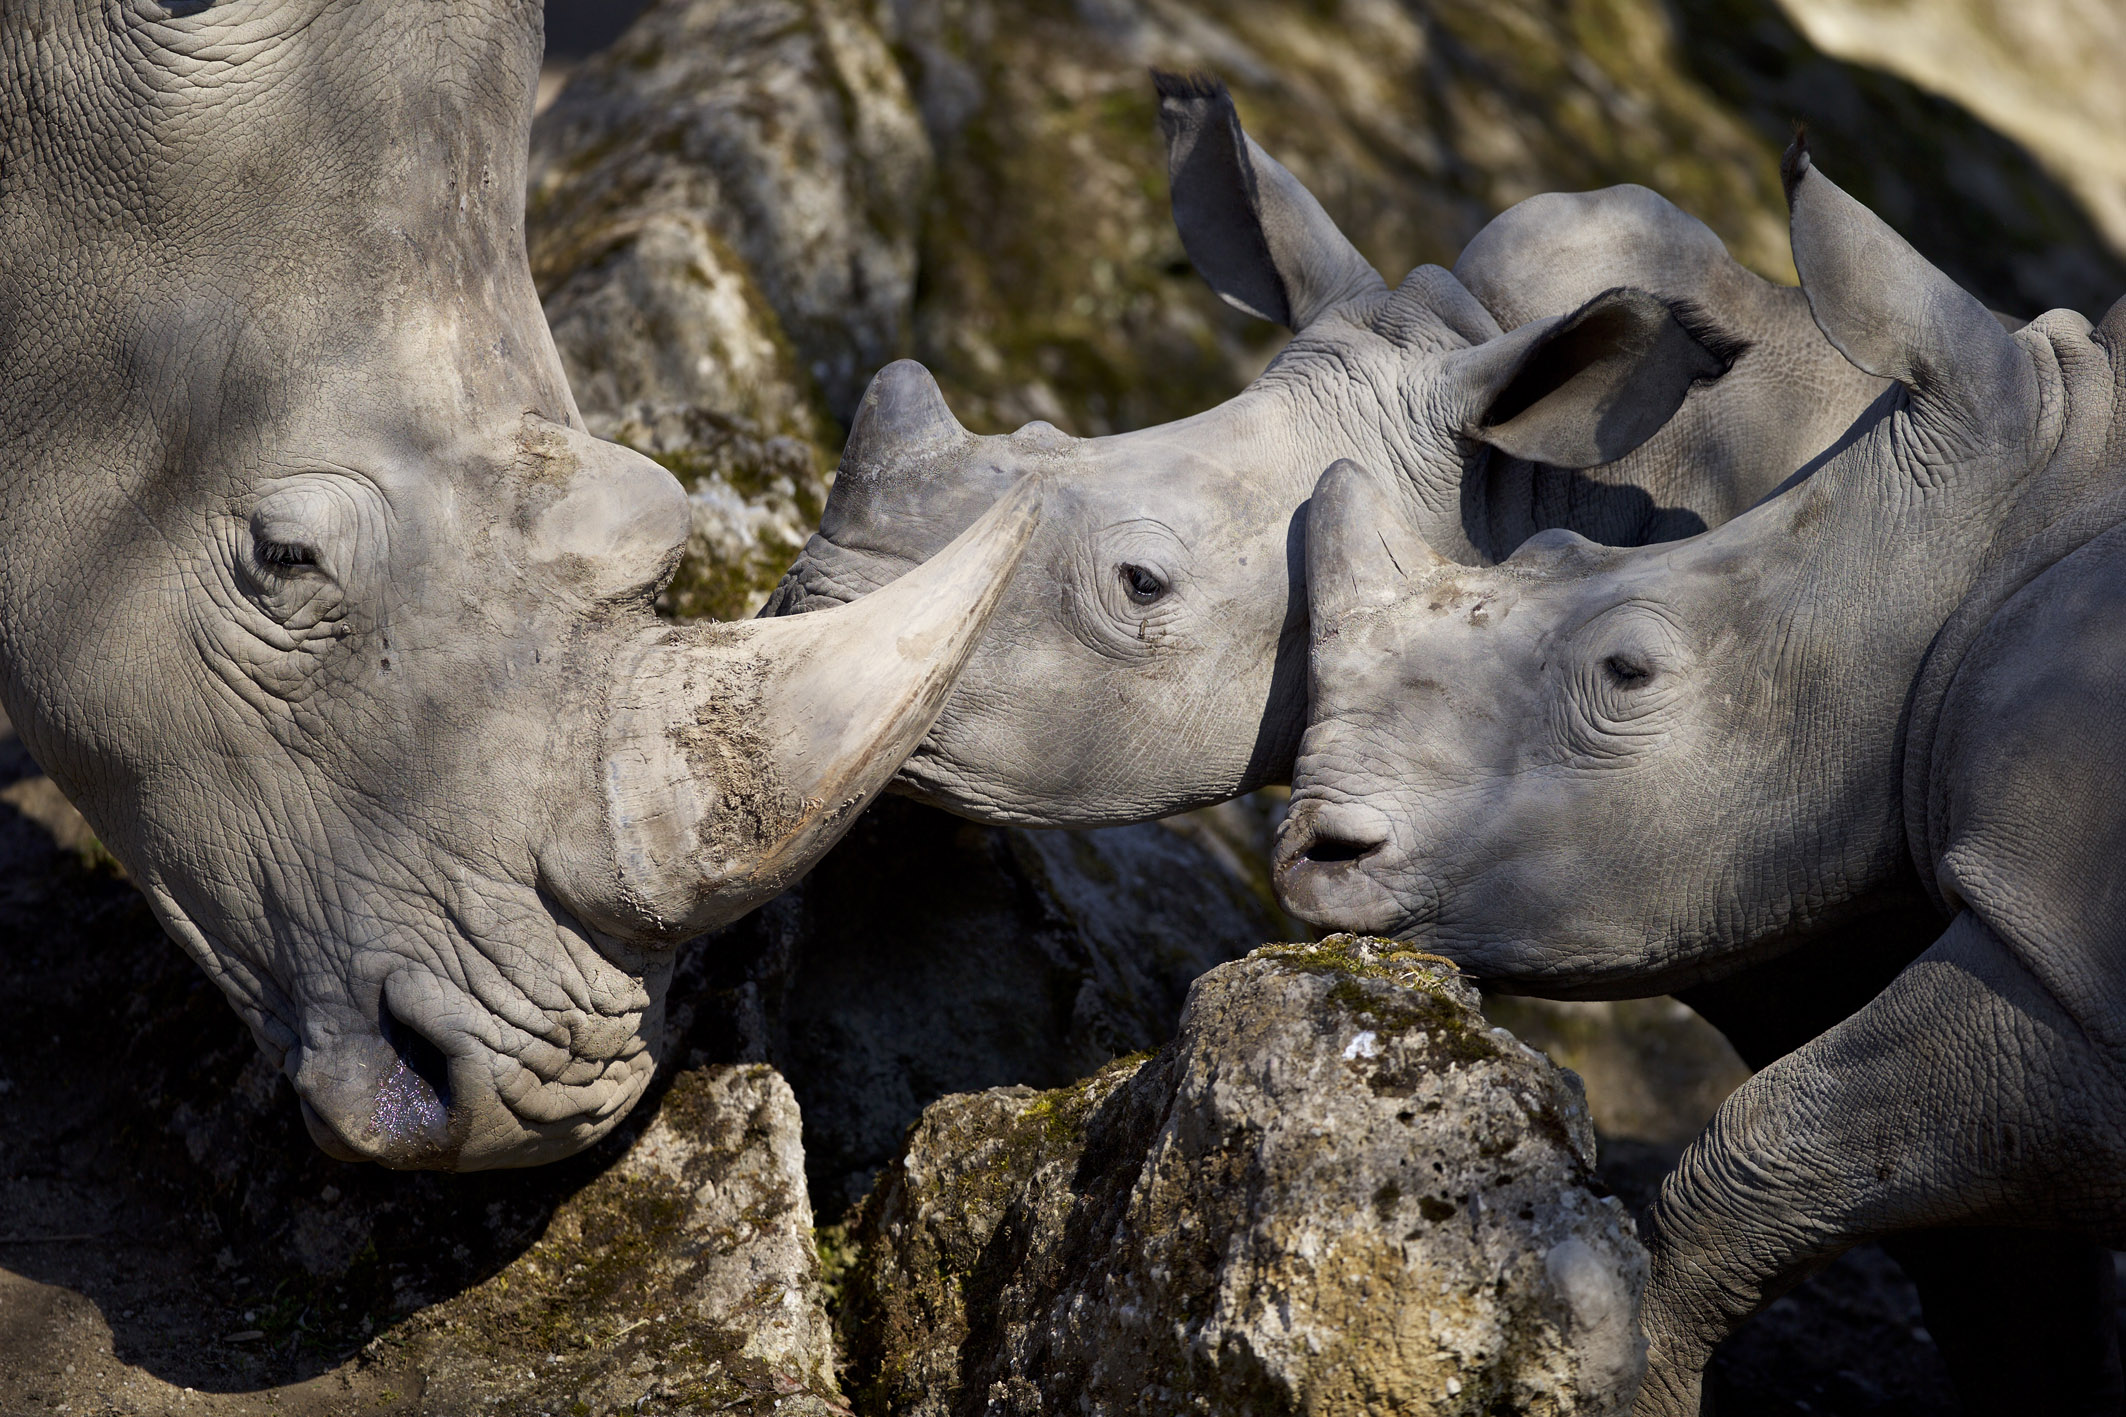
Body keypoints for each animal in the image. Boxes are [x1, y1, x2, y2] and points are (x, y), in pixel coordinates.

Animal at [1275, 146, 2126, 1417]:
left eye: (1627, 671)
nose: (1311, 856)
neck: (2035, 503)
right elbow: (2004, 1279)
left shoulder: (2057, 958)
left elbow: (1767, 1145)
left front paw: (1625, 1382)